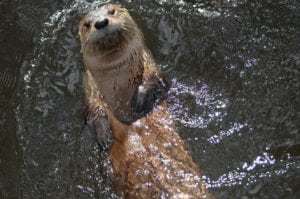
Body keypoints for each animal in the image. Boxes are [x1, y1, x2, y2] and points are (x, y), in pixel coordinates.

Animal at [78, 3, 212, 199]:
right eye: (87, 24)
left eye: (112, 11)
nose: (101, 22)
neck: (118, 81)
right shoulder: (90, 89)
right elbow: (93, 111)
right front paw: (104, 135)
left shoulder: (150, 65)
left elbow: (158, 80)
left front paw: (140, 98)